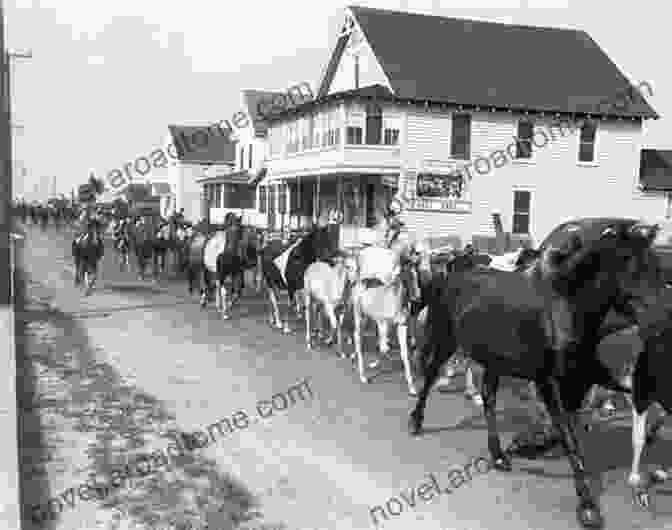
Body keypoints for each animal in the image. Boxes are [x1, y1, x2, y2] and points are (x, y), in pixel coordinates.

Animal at [410, 218, 660, 524]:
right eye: (634, 267)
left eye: (657, 266)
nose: (658, 321)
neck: (563, 308)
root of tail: (453, 270)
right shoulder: (549, 383)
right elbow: (568, 437)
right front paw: (587, 506)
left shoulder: (586, 378)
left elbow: (623, 398)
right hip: (446, 340)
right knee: (430, 375)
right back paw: (416, 422)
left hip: (493, 361)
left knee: (488, 399)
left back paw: (499, 455)